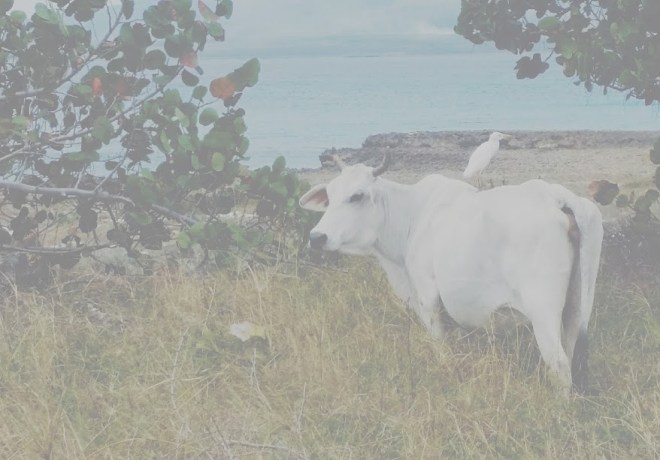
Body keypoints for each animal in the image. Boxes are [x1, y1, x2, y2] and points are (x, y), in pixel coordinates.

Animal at [299, 153, 603, 394]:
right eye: (330, 197)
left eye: (357, 195)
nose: (317, 237)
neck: (412, 217)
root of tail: (556, 197)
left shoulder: (428, 300)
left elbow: (442, 348)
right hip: (578, 306)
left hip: (543, 311)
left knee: (559, 364)